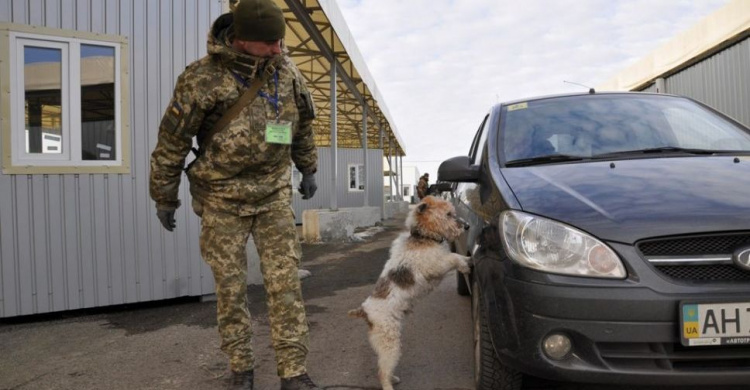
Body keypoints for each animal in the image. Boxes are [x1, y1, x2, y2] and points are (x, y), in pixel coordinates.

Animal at [350, 197, 472, 388]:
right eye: (448, 214)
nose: (466, 226)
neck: (423, 237)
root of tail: (364, 311)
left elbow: (456, 256)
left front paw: (468, 260)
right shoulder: (437, 265)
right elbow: (454, 257)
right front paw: (466, 265)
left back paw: (393, 378)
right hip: (390, 342)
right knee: (382, 371)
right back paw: (389, 384)